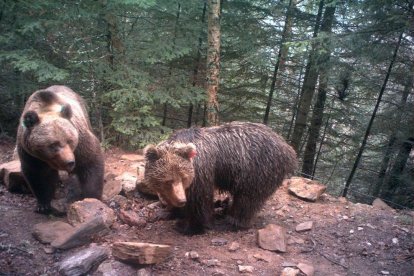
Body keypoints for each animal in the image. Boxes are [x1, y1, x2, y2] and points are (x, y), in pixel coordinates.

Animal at [17, 85, 105, 215]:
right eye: (54, 144)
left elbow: (90, 161)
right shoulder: (30, 154)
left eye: (70, 140)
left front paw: (92, 197)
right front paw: (43, 205)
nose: (70, 162)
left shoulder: (80, 143)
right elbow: (36, 175)